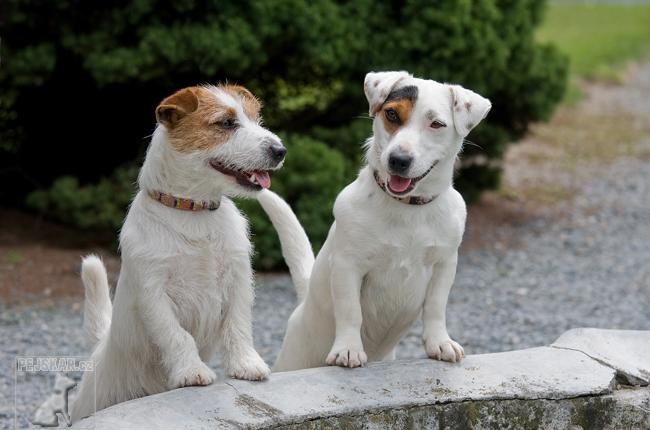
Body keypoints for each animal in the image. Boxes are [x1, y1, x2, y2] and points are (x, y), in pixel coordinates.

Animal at [69, 85, 286, 422]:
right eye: (226, 123)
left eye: (256, 120)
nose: (280, 150)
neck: (194, 211)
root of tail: (102, 347)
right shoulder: (153, 292)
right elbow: (176, 335)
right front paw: (192, 372)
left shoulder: (238, 280)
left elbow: (239, 326)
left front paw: (246, 365)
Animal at [256, 72, 488, 372]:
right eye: (392, 114)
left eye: (436, 124)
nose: (398, 160)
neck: (407, 208)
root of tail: (303, 304)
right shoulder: (348, 265)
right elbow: (350, 311)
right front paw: (348, 349)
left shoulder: (445, 264)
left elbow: (436, 307)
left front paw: (440, 342)